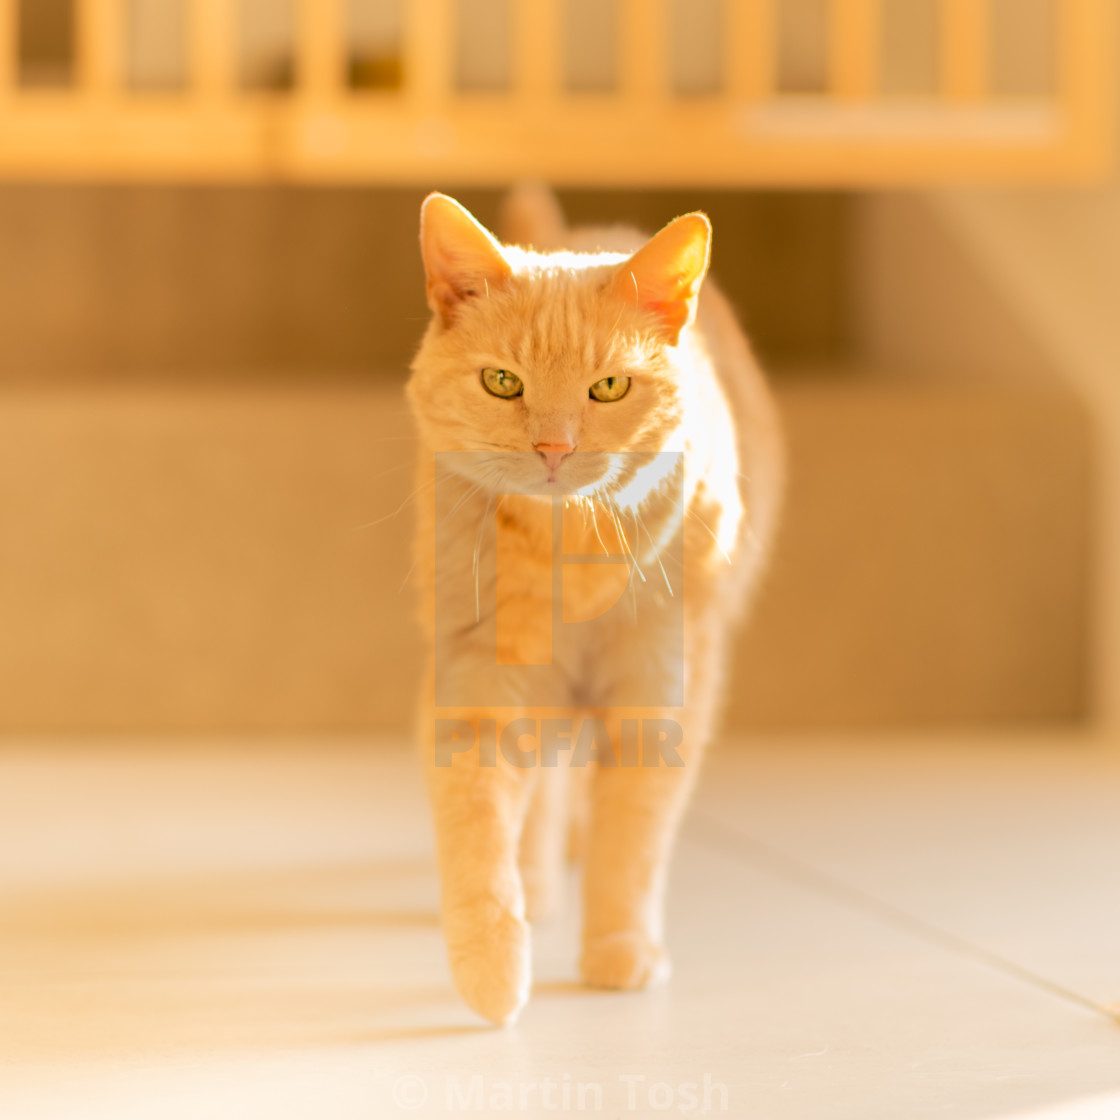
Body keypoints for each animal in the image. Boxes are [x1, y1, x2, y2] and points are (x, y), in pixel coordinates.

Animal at [407, 183, 784, 1025]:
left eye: (608, 386)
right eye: (503, 382)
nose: (553, 448)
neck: (573, 555)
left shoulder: (662, 690)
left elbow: (630, 838)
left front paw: (620, 948)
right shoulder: (479, 682)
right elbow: (478, 833)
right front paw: (492, 968)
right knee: (543, 795)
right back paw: (540, 885)